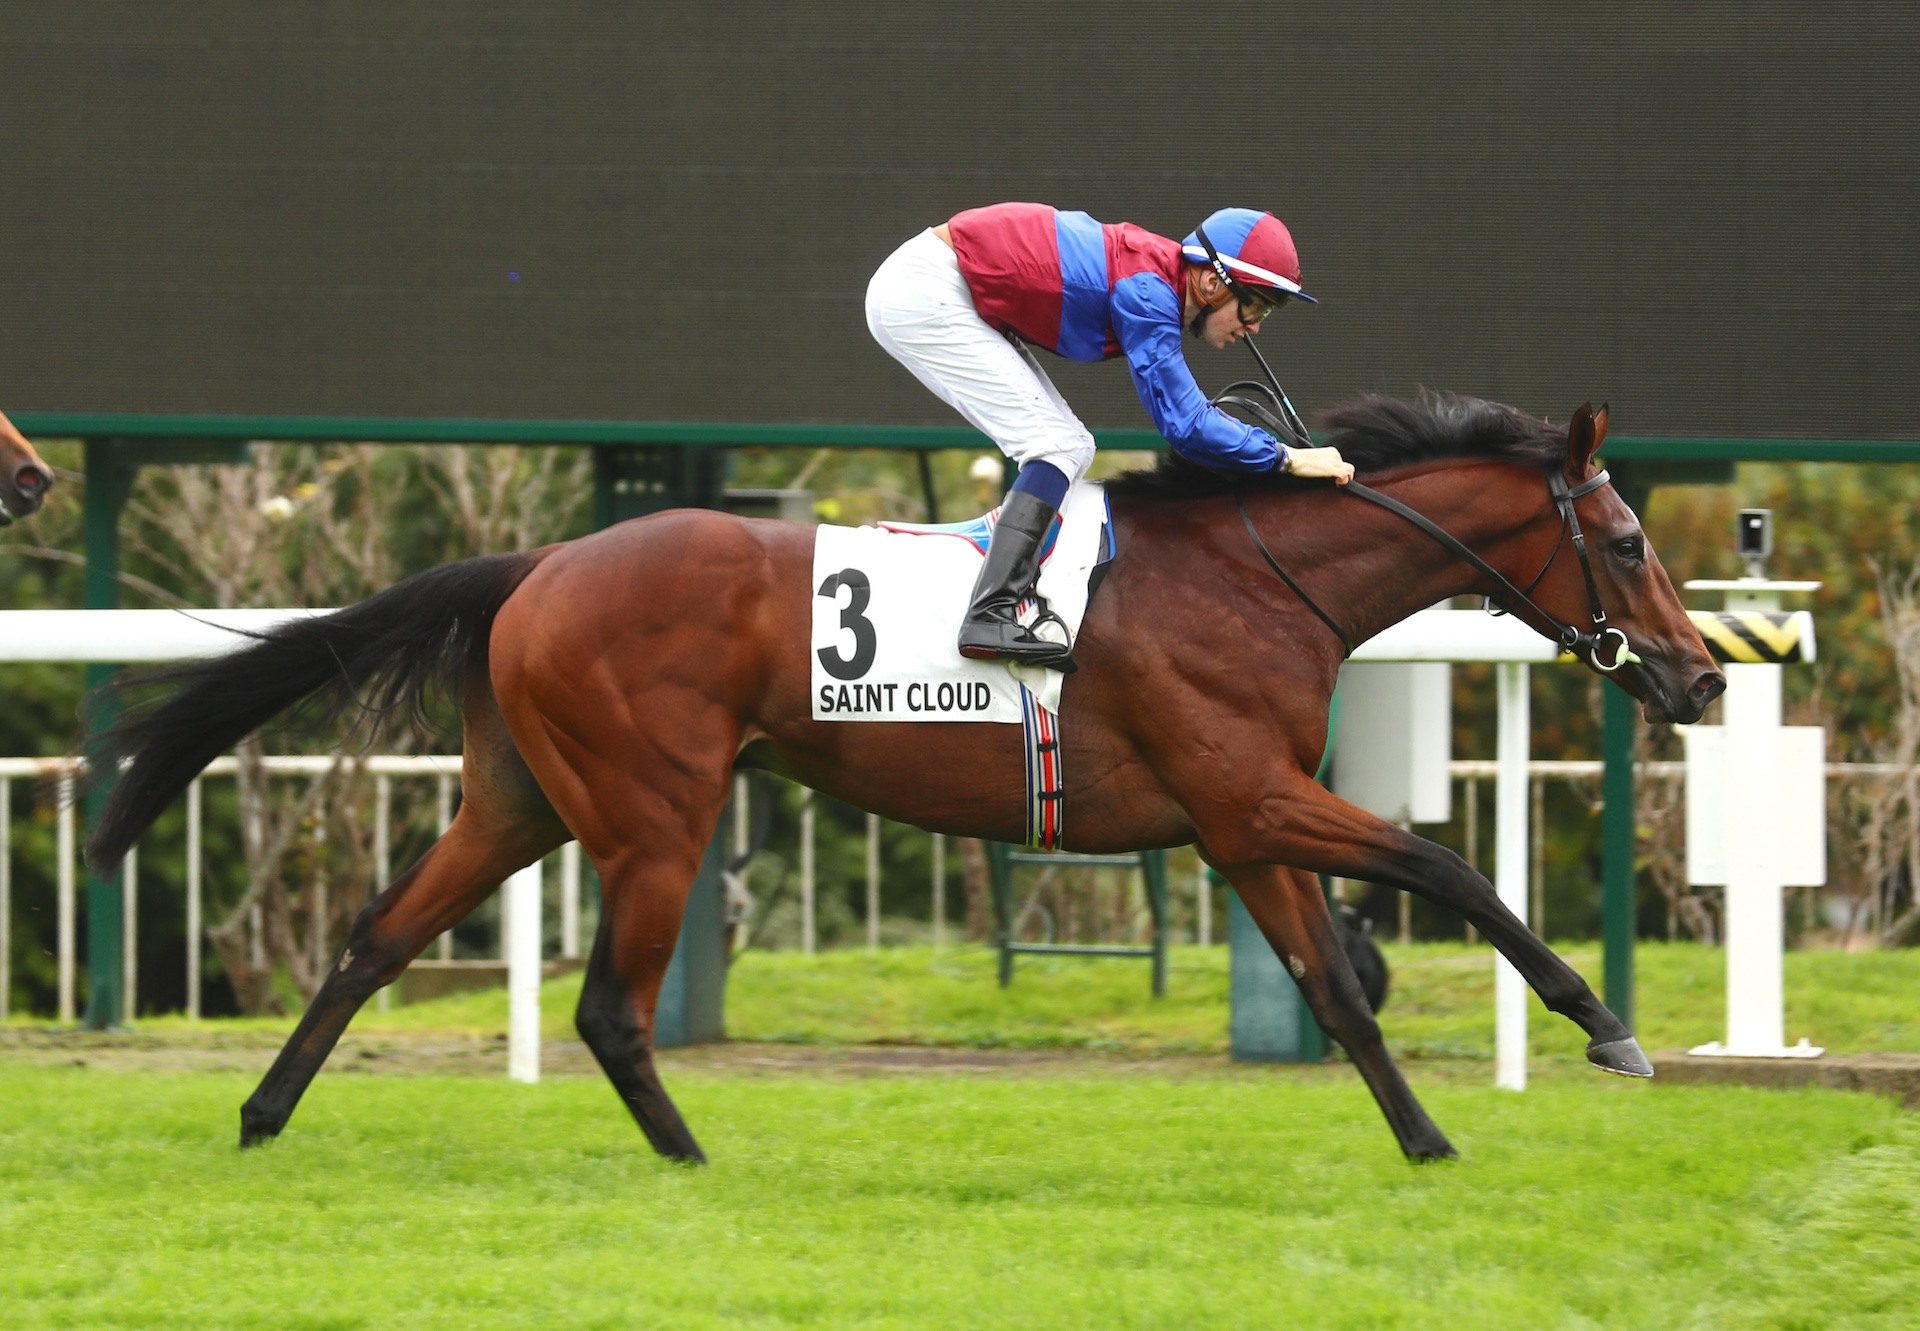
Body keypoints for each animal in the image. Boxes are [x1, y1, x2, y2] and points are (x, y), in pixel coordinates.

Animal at [82, 389, 1728, 1160]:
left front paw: (1430, 1139)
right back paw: (690, 1155)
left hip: (519, 797)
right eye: (1626, 538)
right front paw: (1606, 1027)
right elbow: (1450, 864)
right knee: (610, 1005)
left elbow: (1338, 988)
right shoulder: (1249, 798)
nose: (1703, 675)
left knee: (376, 935)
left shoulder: (1239, 822)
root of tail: (536, 564)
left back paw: (263, 1115)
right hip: (657, 809)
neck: (1262, 574)